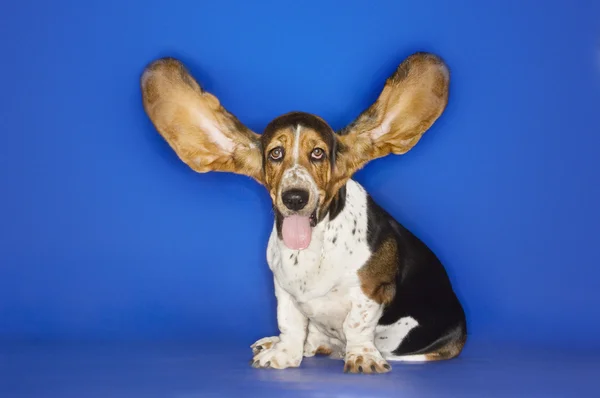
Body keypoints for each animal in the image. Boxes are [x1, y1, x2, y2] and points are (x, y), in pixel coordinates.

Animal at [142, 52, 468, 374]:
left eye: (318, 153)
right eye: (275, 153)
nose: (296, 197)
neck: (312, 247)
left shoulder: (372, 292)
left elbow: (357, 325)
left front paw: (361, 357)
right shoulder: (284, 292)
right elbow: (291, 324)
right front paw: (285, 354)